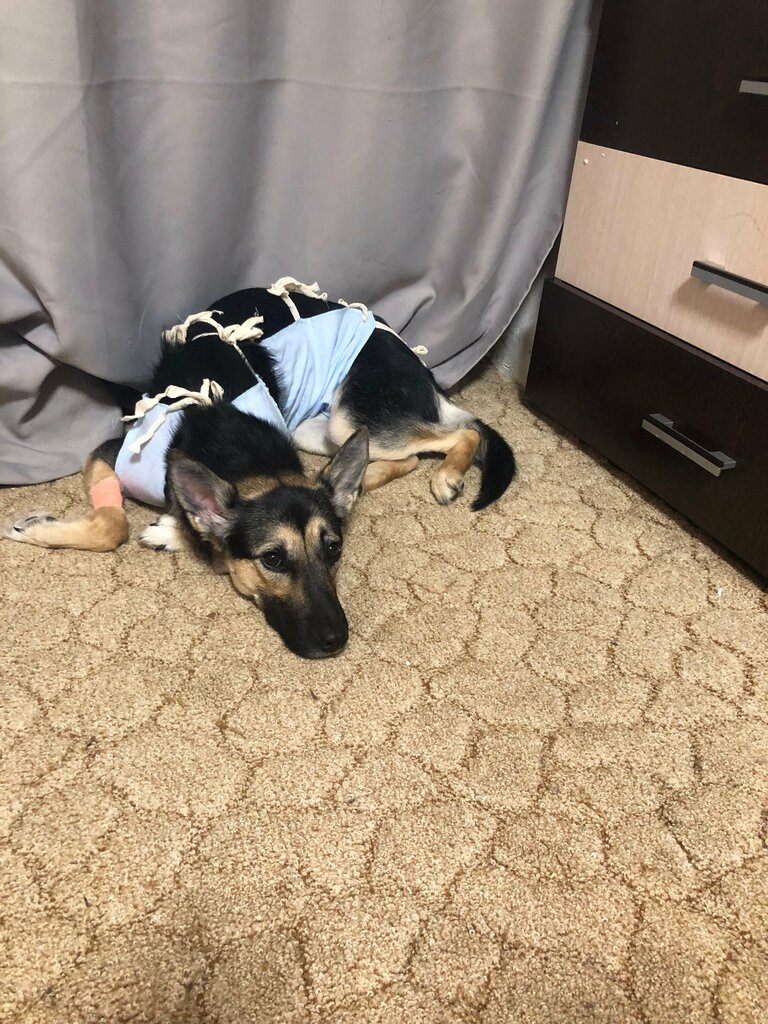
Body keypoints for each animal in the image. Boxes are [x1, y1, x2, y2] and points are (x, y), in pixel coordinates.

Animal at [5, 278, 516, 658]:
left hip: (350, 417)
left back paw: (447, 475)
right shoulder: (113, 452)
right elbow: (114, 524)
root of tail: (415, 362)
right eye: (273, 560)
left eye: (333, 550)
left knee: (464, 432)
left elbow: (132, 527)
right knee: (407, 454)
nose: (336, 641)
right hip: (323, 428)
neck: (235, 441)